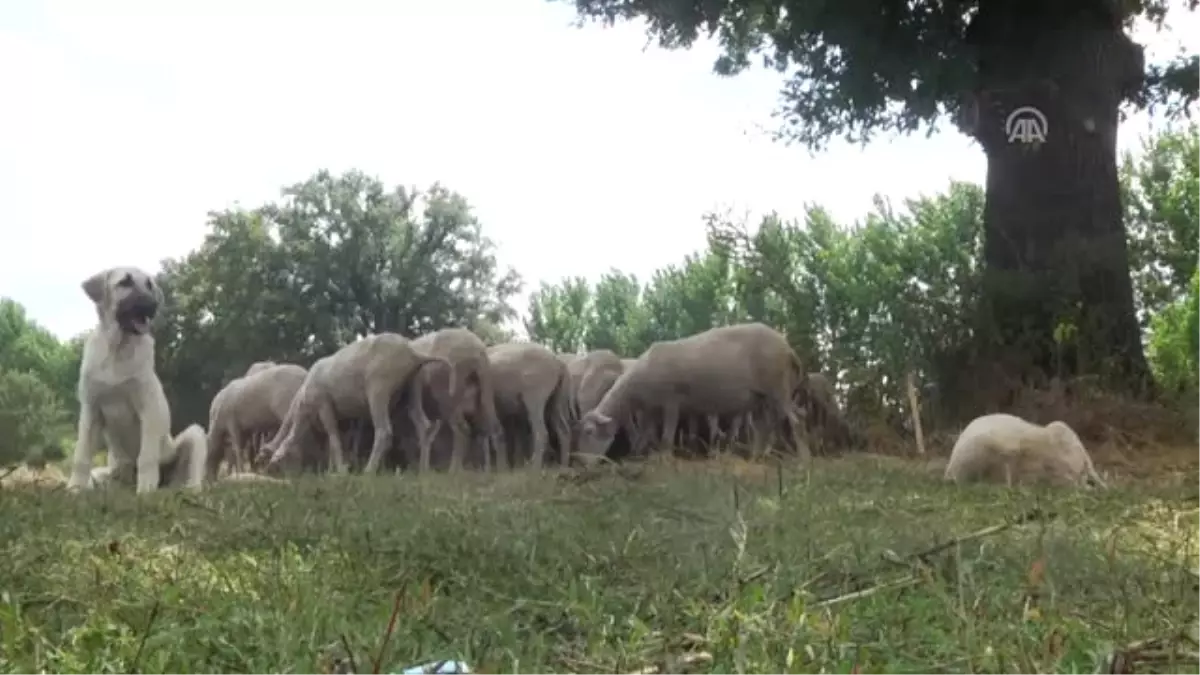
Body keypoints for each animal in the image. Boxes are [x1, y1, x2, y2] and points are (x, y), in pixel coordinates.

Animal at [65, 265, 208, 492]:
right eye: (125, 282)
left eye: (150, 285)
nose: (153, 305)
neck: (118, 349)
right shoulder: (90, 409)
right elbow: (81, 455)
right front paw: (75, 488)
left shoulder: (147, 409)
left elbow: (146, 456)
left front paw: (146, 489)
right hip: (108, 471)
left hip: (194, 435)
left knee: (193, 474)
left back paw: (187, 489)